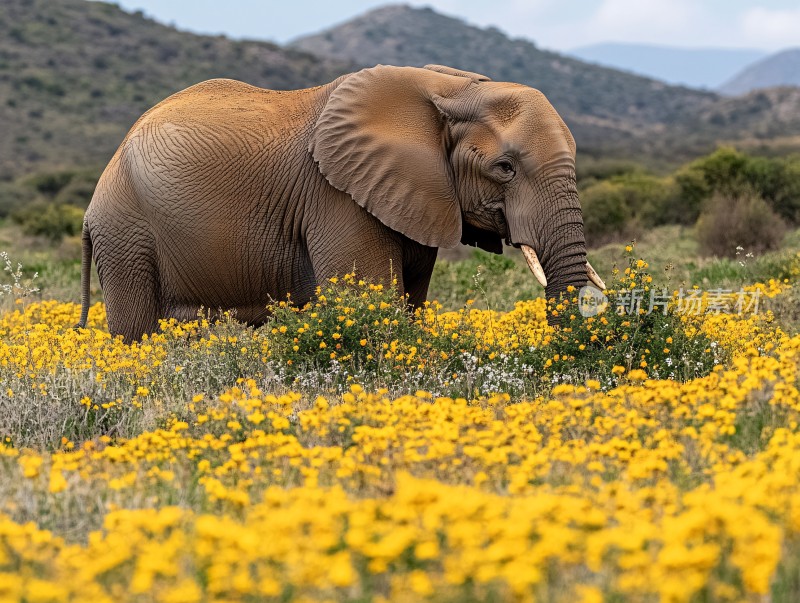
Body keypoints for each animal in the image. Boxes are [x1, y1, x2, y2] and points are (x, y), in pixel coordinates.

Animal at [78, 65, 604, 344]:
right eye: (505, 168)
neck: (453, 88)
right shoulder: (337, 196)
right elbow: (371, 297)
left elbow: (409, 299)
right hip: (125, 231)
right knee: (135, 331)